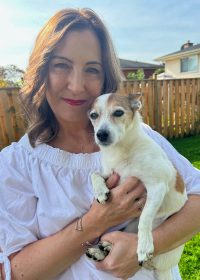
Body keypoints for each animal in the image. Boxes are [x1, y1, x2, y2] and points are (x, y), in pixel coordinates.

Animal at [86, 93, 188, 278]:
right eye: (93, 115)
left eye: (118, 112)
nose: (101, 134)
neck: (122, 150)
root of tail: (164, 268)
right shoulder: (111, 174)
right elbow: (94, 174)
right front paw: (101, 192)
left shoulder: (157, 186)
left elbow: (145, 217)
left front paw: (144, 246)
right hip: (129, 227)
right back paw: (102, 250)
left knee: (147, 262)